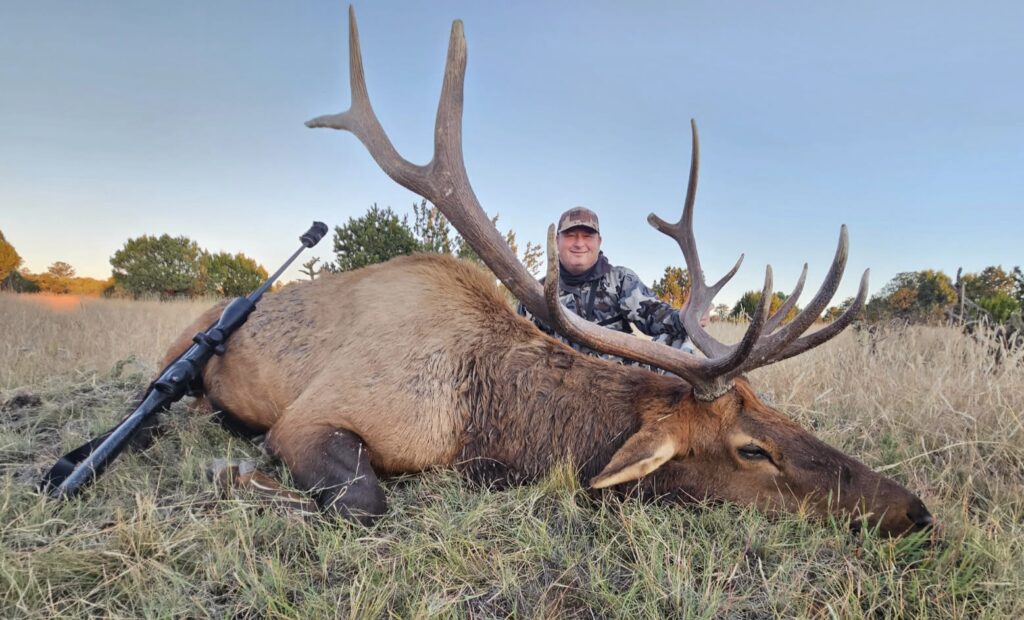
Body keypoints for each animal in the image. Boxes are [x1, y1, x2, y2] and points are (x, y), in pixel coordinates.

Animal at [160, 8, 932, 536]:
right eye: (752, 449)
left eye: (778, 412)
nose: (915, 510)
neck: (481, 423)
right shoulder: (311, 417)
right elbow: (363, 500)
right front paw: (231, 469)